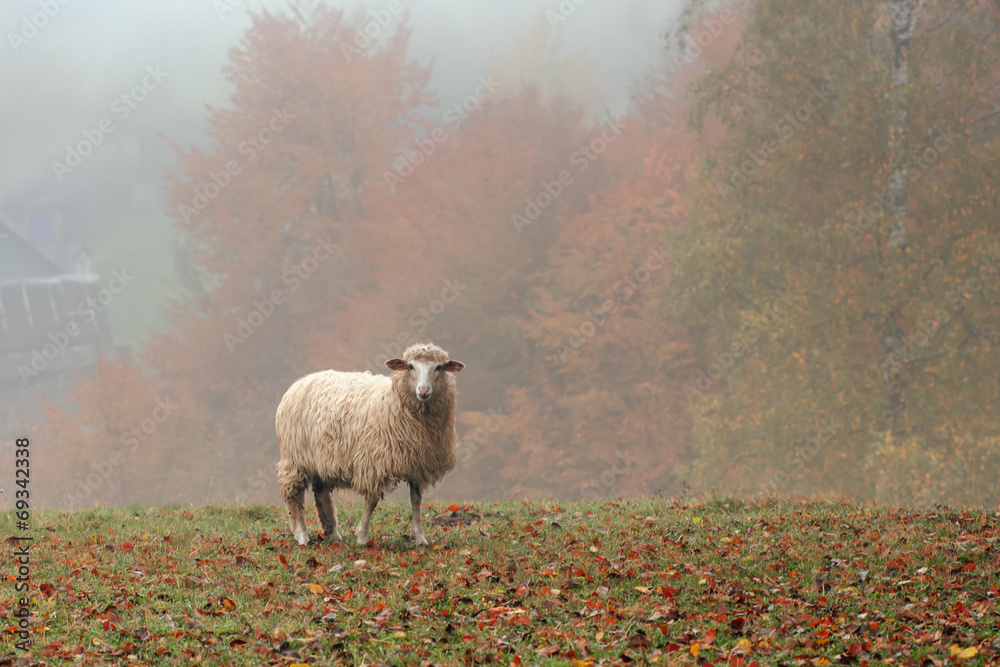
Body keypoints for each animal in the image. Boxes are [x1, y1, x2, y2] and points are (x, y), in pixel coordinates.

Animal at [276, 342, 466, 544]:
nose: (423, 391)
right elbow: (372, 501)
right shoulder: (374, 462)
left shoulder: (418, 463)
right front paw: (362, 537)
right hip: (295, 458)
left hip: (323, 458)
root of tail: (302, 380)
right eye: (410, 366)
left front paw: (420, 538)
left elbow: (416, 500)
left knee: (322, 494)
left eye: (439, 367)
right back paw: (303, 536)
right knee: (293, 494)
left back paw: (333, 533)